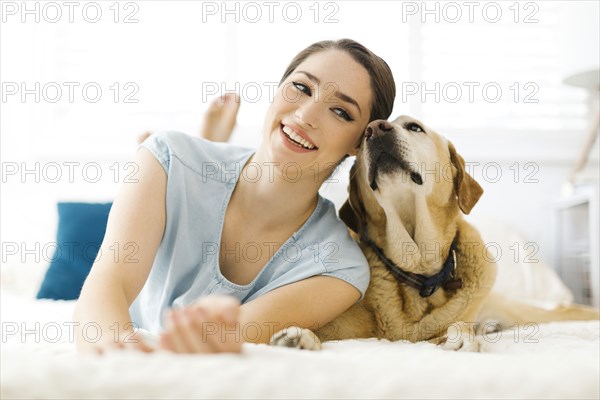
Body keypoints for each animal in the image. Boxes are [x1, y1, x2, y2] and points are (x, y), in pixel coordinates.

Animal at [272, 115, 600, 350]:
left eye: (414, 127)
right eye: (364, 135)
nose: (375, 129)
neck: (420, 268)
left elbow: (458, 327)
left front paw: (463, 336)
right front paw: (298, 337)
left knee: (566, 310)